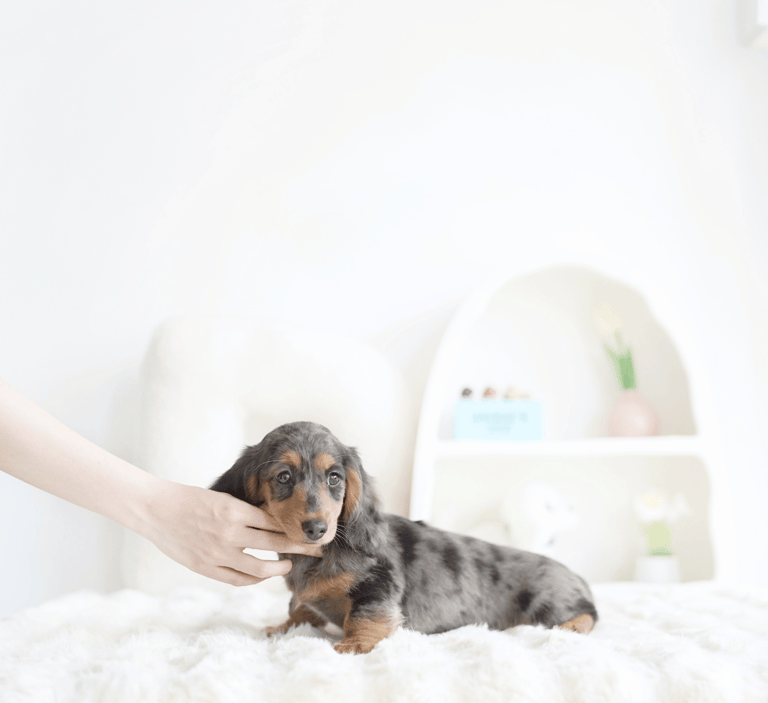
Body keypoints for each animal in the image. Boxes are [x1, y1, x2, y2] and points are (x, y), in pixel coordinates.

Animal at [210, 421, 598, 654]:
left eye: (334, 477)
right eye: (284, 477)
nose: (316, 528)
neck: (322, 553)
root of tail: (577, 577)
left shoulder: (378, 585)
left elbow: (364, 616)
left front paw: (354, 645)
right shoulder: (307, 595)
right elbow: (301, 607)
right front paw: (285, 627)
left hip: (547, 604)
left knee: (589, 614)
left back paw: (573, 628)